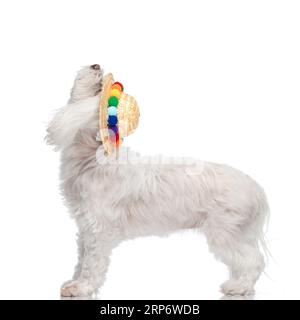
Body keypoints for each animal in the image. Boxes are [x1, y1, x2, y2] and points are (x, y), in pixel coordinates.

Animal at [47, 64, 270, 298]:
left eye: (101, 90)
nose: (96, 65)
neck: (94, 157)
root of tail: (256, 189)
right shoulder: (85, 226)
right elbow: (81, 258)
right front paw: (74, 280)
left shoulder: (98, 228)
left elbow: (92, 263)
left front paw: (81, 287)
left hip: (225, 233)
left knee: (253, 260)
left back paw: (240, 287)